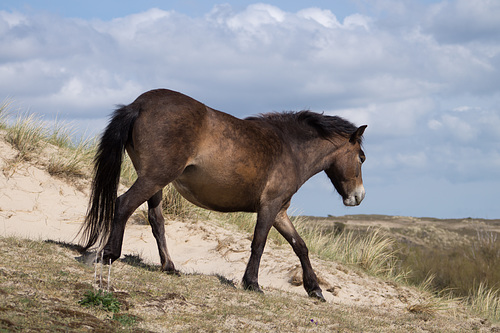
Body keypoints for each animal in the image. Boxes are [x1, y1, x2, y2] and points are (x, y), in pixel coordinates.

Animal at [79, 89, 368, 300]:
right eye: (362, 158)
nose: (358, 197)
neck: (290, 148)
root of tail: (139, 104)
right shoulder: (269, 206)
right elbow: (259, 243)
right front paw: (252, 283)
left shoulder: (280, 211)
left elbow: (300, 246)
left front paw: (314, 289)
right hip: (154, 178)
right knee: (123, 204)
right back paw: (109, 254)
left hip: (154, 181)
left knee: (156, 220)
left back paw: (169, 267)